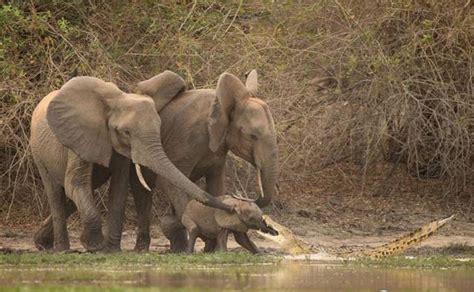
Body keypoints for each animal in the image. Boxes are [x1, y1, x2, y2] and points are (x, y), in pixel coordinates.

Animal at [29, 72, 233, 251]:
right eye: (125, 132)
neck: (117, 100)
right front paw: (94, 246)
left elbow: (118, 188)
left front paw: (111, 250)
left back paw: (42, 243)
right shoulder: (79, 137)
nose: (231, 207)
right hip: (38, 151)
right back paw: (59, 249)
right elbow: (76, 182)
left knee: (82, 191)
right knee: (57, 193)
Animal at [131, 70, 278, 251]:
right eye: (252, 136)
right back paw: (146, 248)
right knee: (142, 193)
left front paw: (212, 246)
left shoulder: (219, 149)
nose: (250, 199)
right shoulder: (185, 140)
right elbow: (170, 184)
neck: (218, 103)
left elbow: (216, 187)